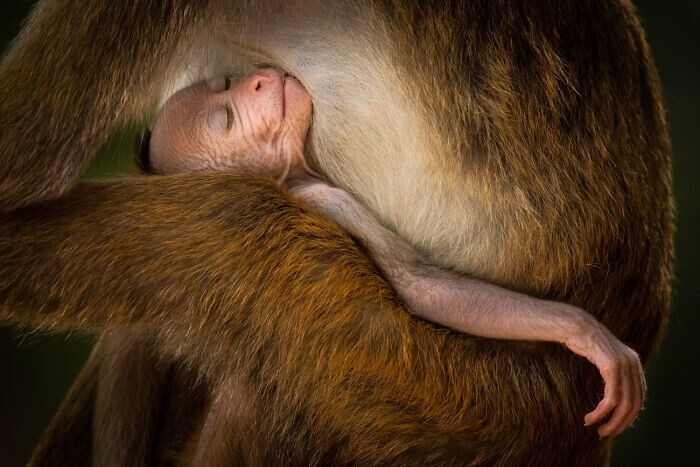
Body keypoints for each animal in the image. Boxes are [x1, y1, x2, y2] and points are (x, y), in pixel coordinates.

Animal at [144, 69, 644, 438]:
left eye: (225, 86)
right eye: (227, 120)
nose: (257, 82)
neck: (293, 178)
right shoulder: (331, 200)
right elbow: (417, 286)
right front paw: (584, 333)